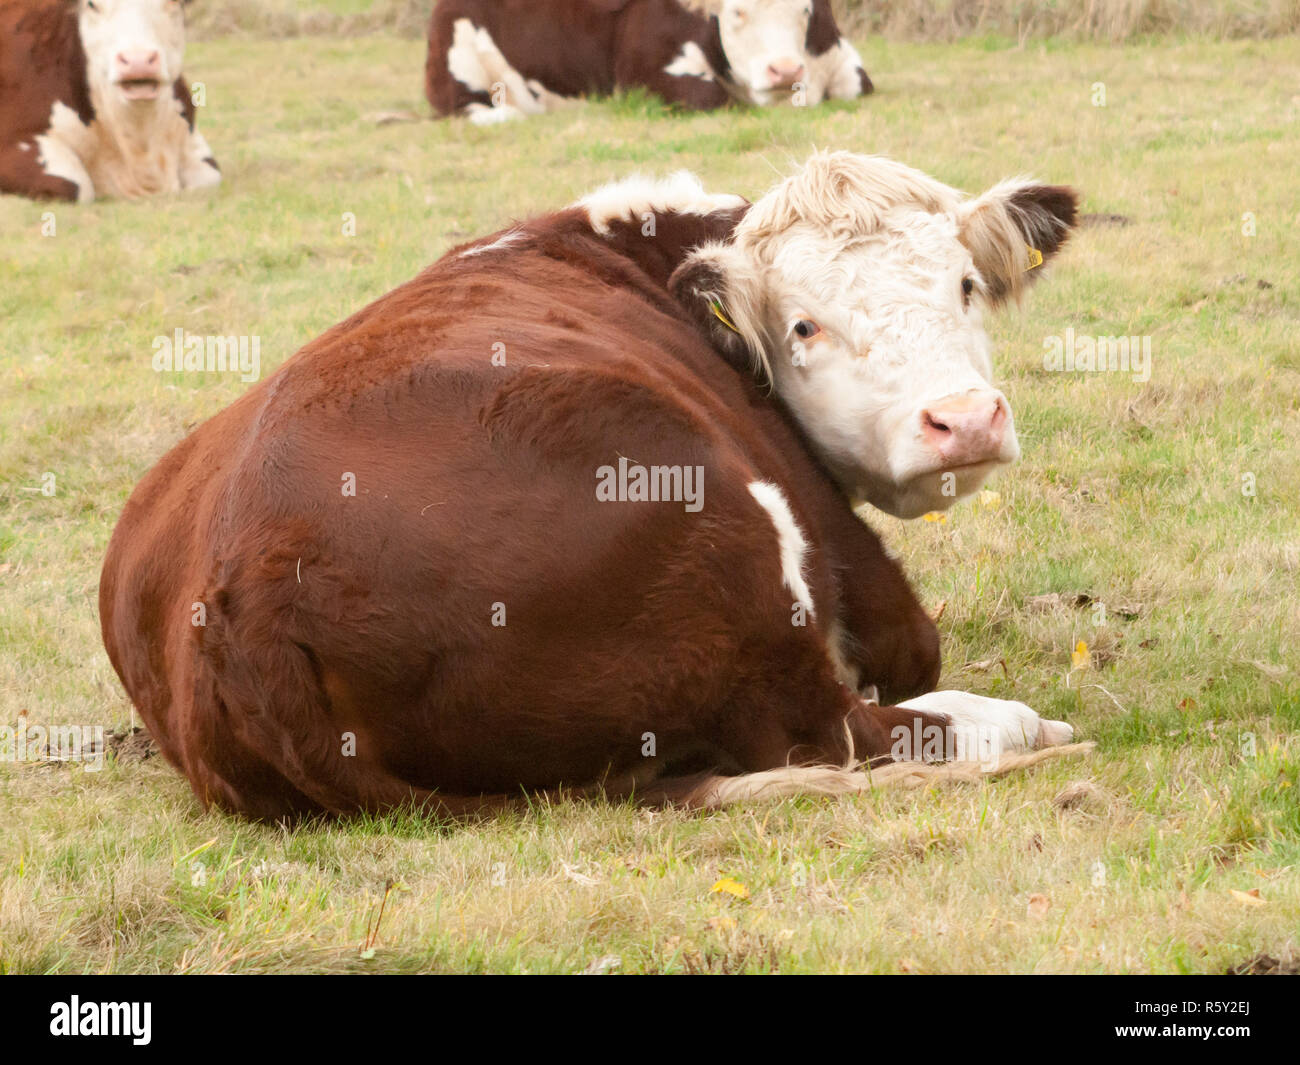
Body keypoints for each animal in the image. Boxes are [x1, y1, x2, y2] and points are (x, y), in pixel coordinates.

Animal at [100, 151, 1082, 821]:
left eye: (966, 285)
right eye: (804, 325)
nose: (963, 418)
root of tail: (247, 596)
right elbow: (906, 653)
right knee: (836, 728)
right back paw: (1024, 723)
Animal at [425, 0, 873, 125]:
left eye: (804, 10)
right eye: (737, 12)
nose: (785, 71)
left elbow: (858, 85)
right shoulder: (648, 72)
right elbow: (709, 98)